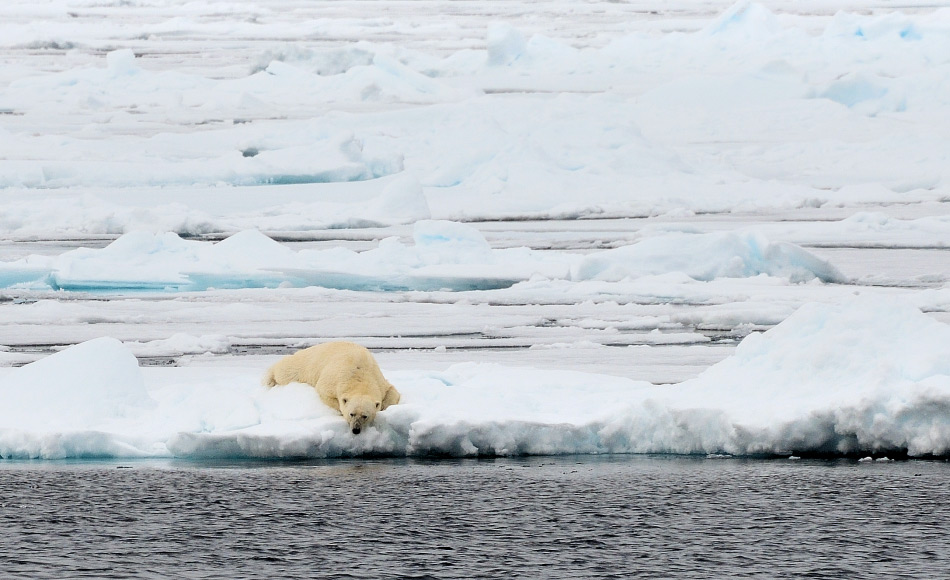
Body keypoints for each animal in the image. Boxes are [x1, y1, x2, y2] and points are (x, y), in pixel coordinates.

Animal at [262, 340, 404, 436]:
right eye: (352, 414)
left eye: (365, 416)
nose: (355, 430)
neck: (359, 375)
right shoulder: (335, 378)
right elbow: (325, 392)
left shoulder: (378, 379)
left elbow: (392, 391)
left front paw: (384, 406)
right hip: (302, 365)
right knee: (285, 371)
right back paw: (270, 379)